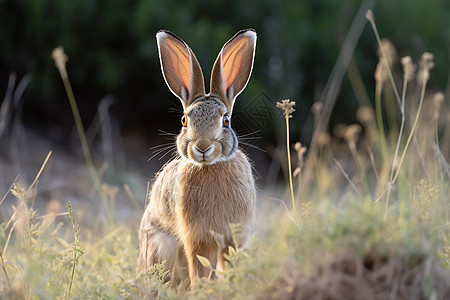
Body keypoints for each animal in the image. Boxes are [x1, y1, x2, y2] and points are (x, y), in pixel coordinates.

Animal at [137, 28, 256, 284]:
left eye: (226, 120)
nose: (202, 147)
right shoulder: (197, 239)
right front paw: (204, 288)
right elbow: (200, 269)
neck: (211, 166)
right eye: (184, 120)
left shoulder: (232, 237)